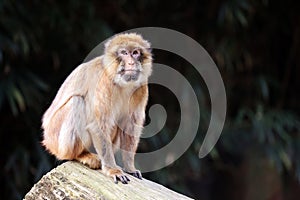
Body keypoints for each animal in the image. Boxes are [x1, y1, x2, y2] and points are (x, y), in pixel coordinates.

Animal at [42, 33, 152, 184]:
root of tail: (47, 140)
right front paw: (112, 170)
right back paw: (81, 155)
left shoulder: (141, 87)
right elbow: (98, 125)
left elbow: (130, 126)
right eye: (124, 53)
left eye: (135, 53)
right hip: (56, 139)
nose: (131, 62)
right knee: (77, 101)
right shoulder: (104, 83)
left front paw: (130, 167)